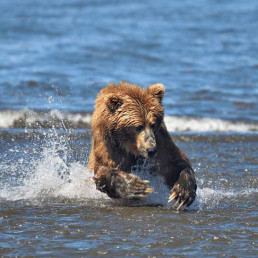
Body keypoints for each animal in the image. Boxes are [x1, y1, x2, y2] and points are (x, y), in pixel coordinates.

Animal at [87, 81, 197, 211]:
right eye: (138, 126)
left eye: (153, 124)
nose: (151, 150)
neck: (130, 147)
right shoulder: (108, 145)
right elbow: (103, 170)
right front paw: (136, 186)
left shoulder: (161, 143)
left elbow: (175, 163)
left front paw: (182, 193)